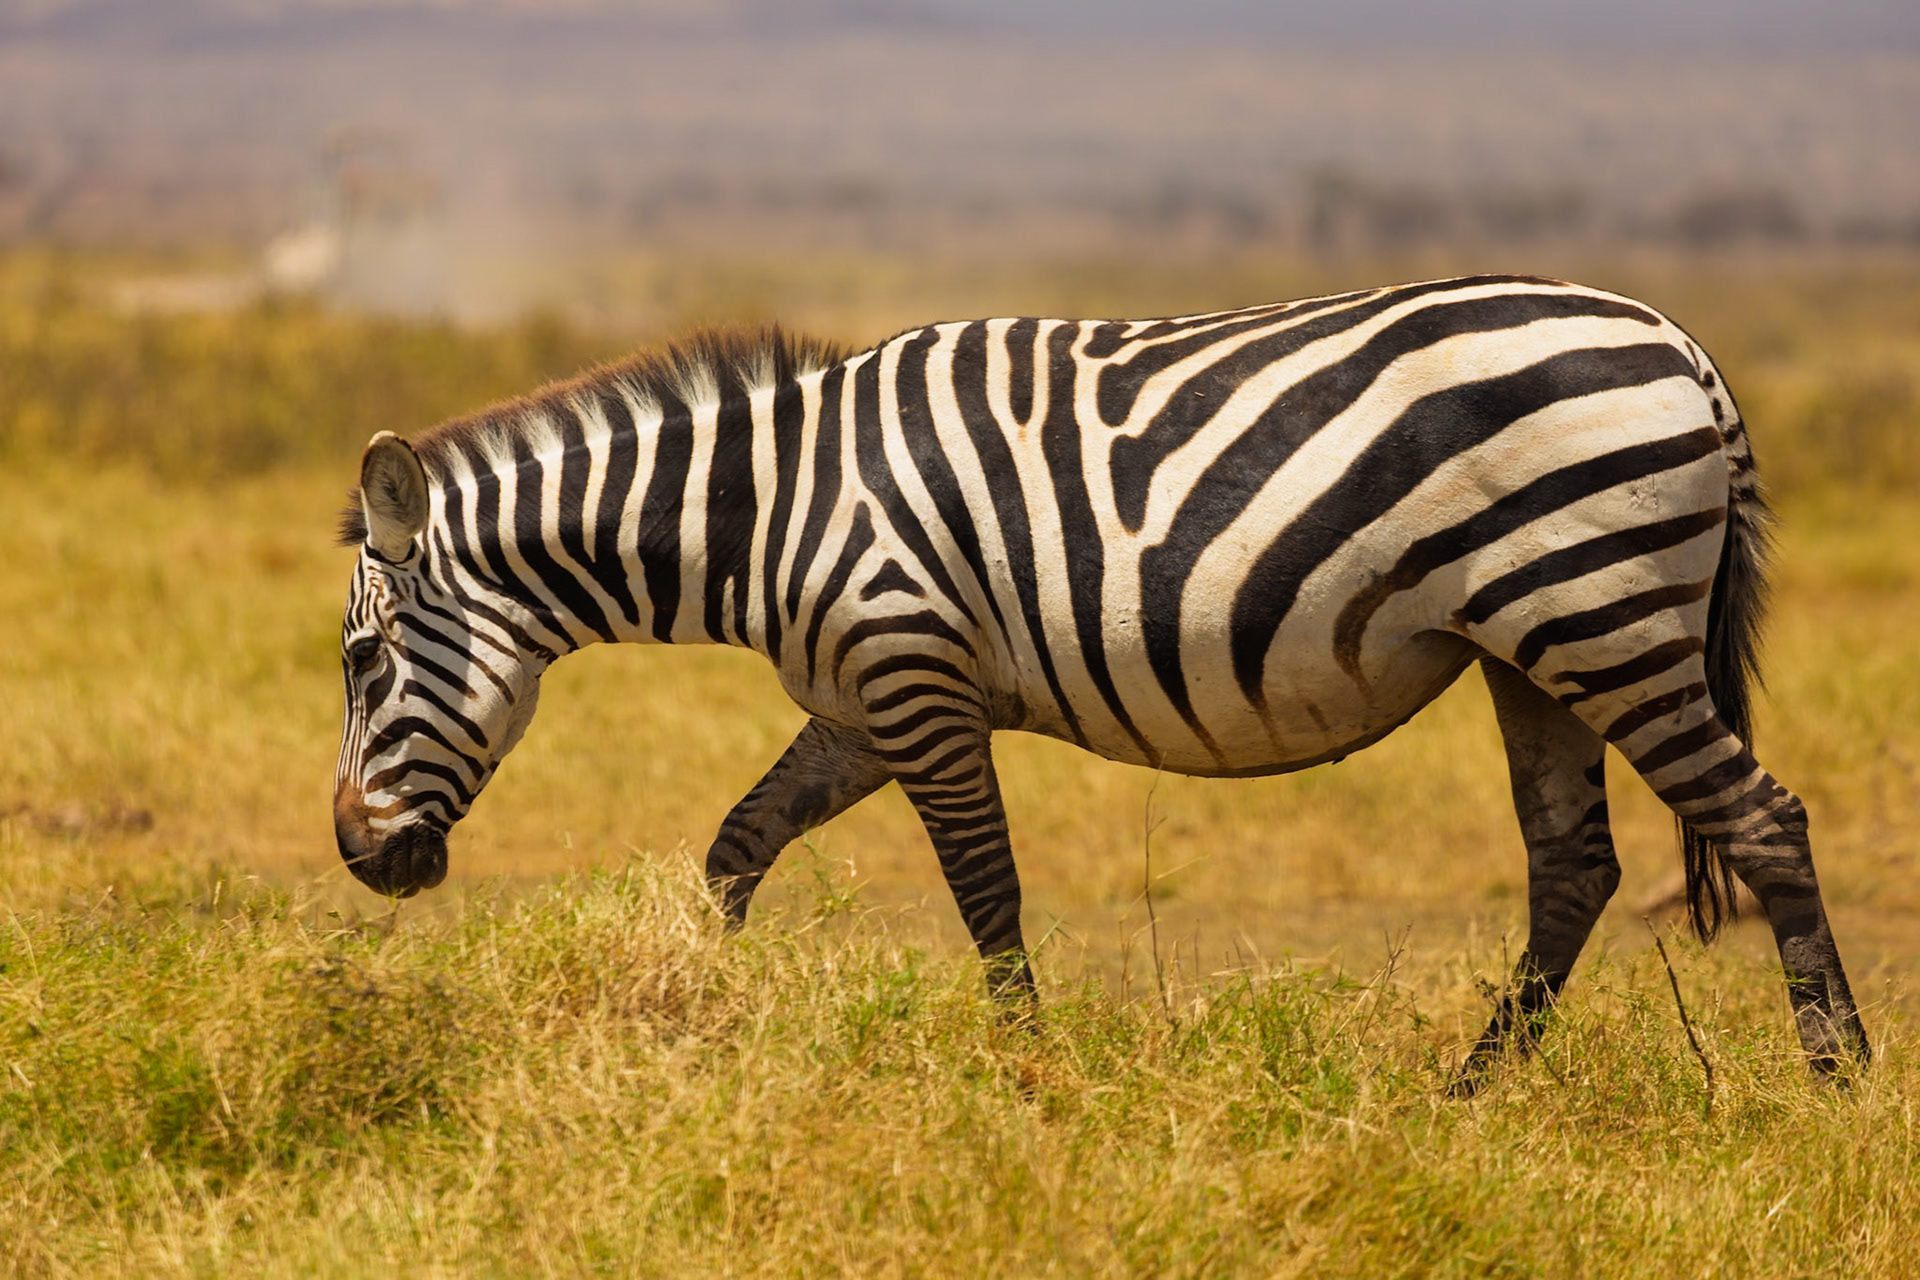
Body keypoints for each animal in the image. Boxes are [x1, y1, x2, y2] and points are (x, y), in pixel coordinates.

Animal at [334, 274, 1867, 1086]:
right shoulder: (855, 702)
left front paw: (1028, 1077)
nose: (357, 861)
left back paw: (1836, 1077)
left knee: (1763, 822)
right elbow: (735, 846)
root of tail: (1685, 346)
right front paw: (691, 1031)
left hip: (1605, 619)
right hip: (1535, 650)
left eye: (359, 660)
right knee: (1574, 867)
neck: (764, 510)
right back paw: (1467, 1088)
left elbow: (985, 891)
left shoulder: (914, 675)